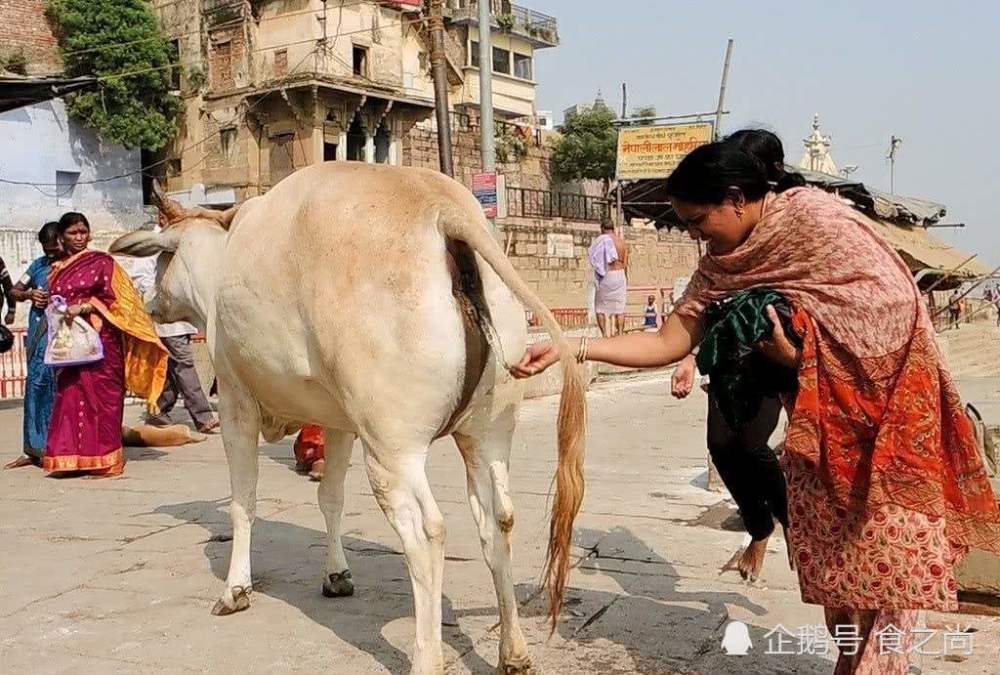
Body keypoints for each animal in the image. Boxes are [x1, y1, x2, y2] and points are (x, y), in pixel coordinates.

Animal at [111, 165, 584, 675]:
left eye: (161, 259)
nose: (147, 300)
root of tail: (441, 206)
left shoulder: (237, 402)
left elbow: (244, 501)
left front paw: (235, 589)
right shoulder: (337, 421)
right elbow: (331, 496)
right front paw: (336, 574)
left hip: (393, 447)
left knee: (427, 531)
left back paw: (427, 657)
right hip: (487, 433)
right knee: (498, 519)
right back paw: (513, 650)